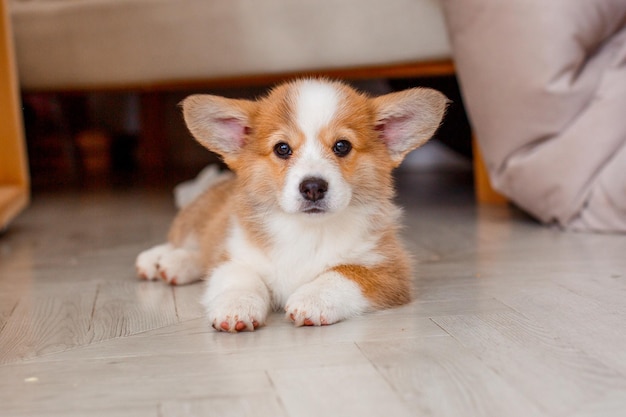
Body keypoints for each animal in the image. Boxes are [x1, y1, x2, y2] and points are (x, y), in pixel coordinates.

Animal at [135, 79, 446, 332]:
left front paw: (313, 299)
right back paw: (159, 259)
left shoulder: (390, 269)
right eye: (282, 148)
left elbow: (344, 273)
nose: (313, 187)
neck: (307, 231)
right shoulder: (238, 256)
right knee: (188, 244)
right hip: (198, 219)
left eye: (342, 146)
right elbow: (240, 279)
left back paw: (174, 265)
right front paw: (237, 307)